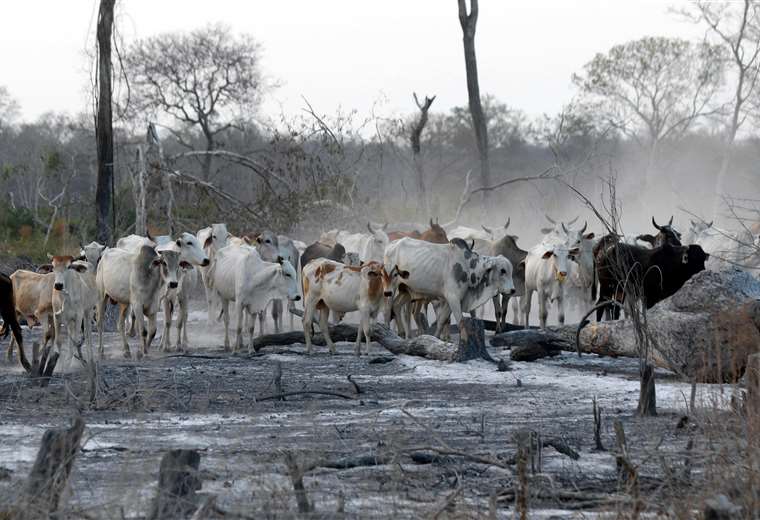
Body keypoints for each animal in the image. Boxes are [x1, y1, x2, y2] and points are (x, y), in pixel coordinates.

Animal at [386, 238, 516, 340]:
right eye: (502, 270)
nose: (513, 290)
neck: (468, 267)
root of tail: (392, 244)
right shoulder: (453, 297)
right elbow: (460, 321)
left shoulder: (451, 299)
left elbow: (442, 320)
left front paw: (436, 337)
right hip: (391, 288)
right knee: (389, 310)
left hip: (406, 291)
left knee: (396, 306)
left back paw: (402, 333)